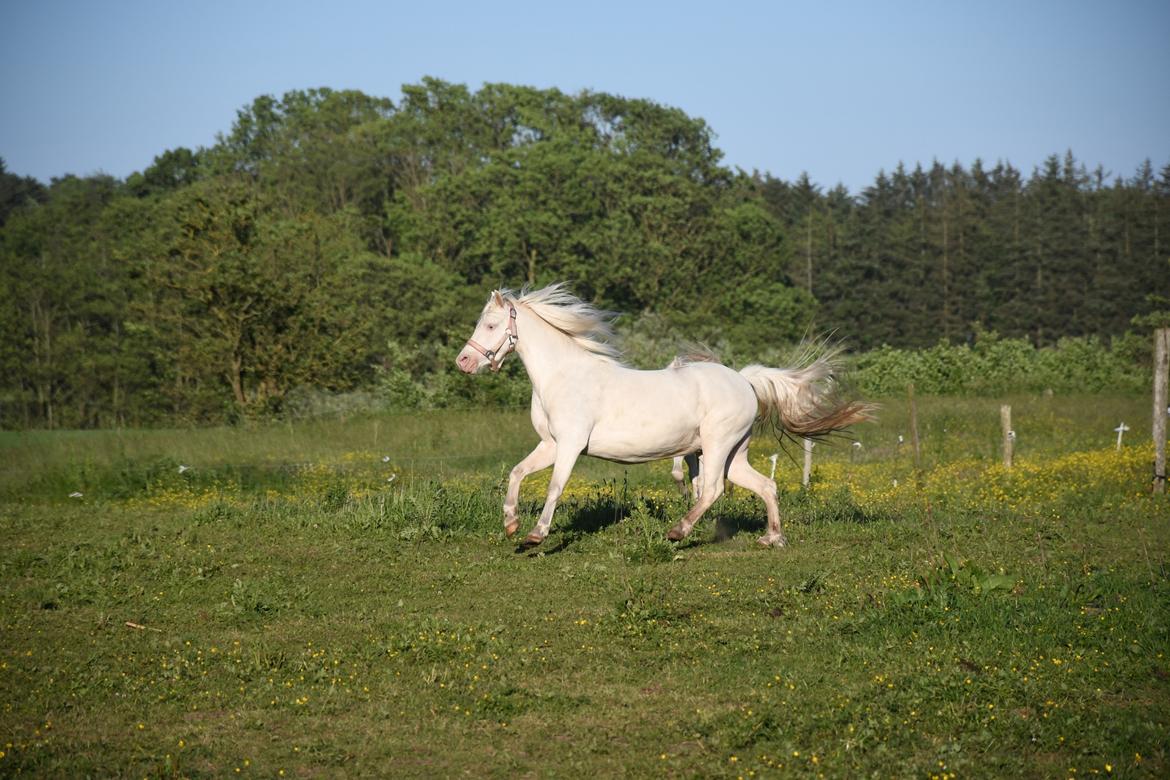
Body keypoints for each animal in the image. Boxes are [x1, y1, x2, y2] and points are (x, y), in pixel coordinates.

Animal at [456, 285, 870, 549]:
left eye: (490, 325)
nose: (464, 362)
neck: (563, 376)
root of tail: (745, 381)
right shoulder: (550, 444)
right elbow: (517, 473)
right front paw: (510, 524)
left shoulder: (571, 445)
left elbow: (555, 487)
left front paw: (535, 535)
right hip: (733, 452)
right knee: (765, 486)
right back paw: (772, 538)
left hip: (717, 446)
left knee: (713, 490)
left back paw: (678, 532)